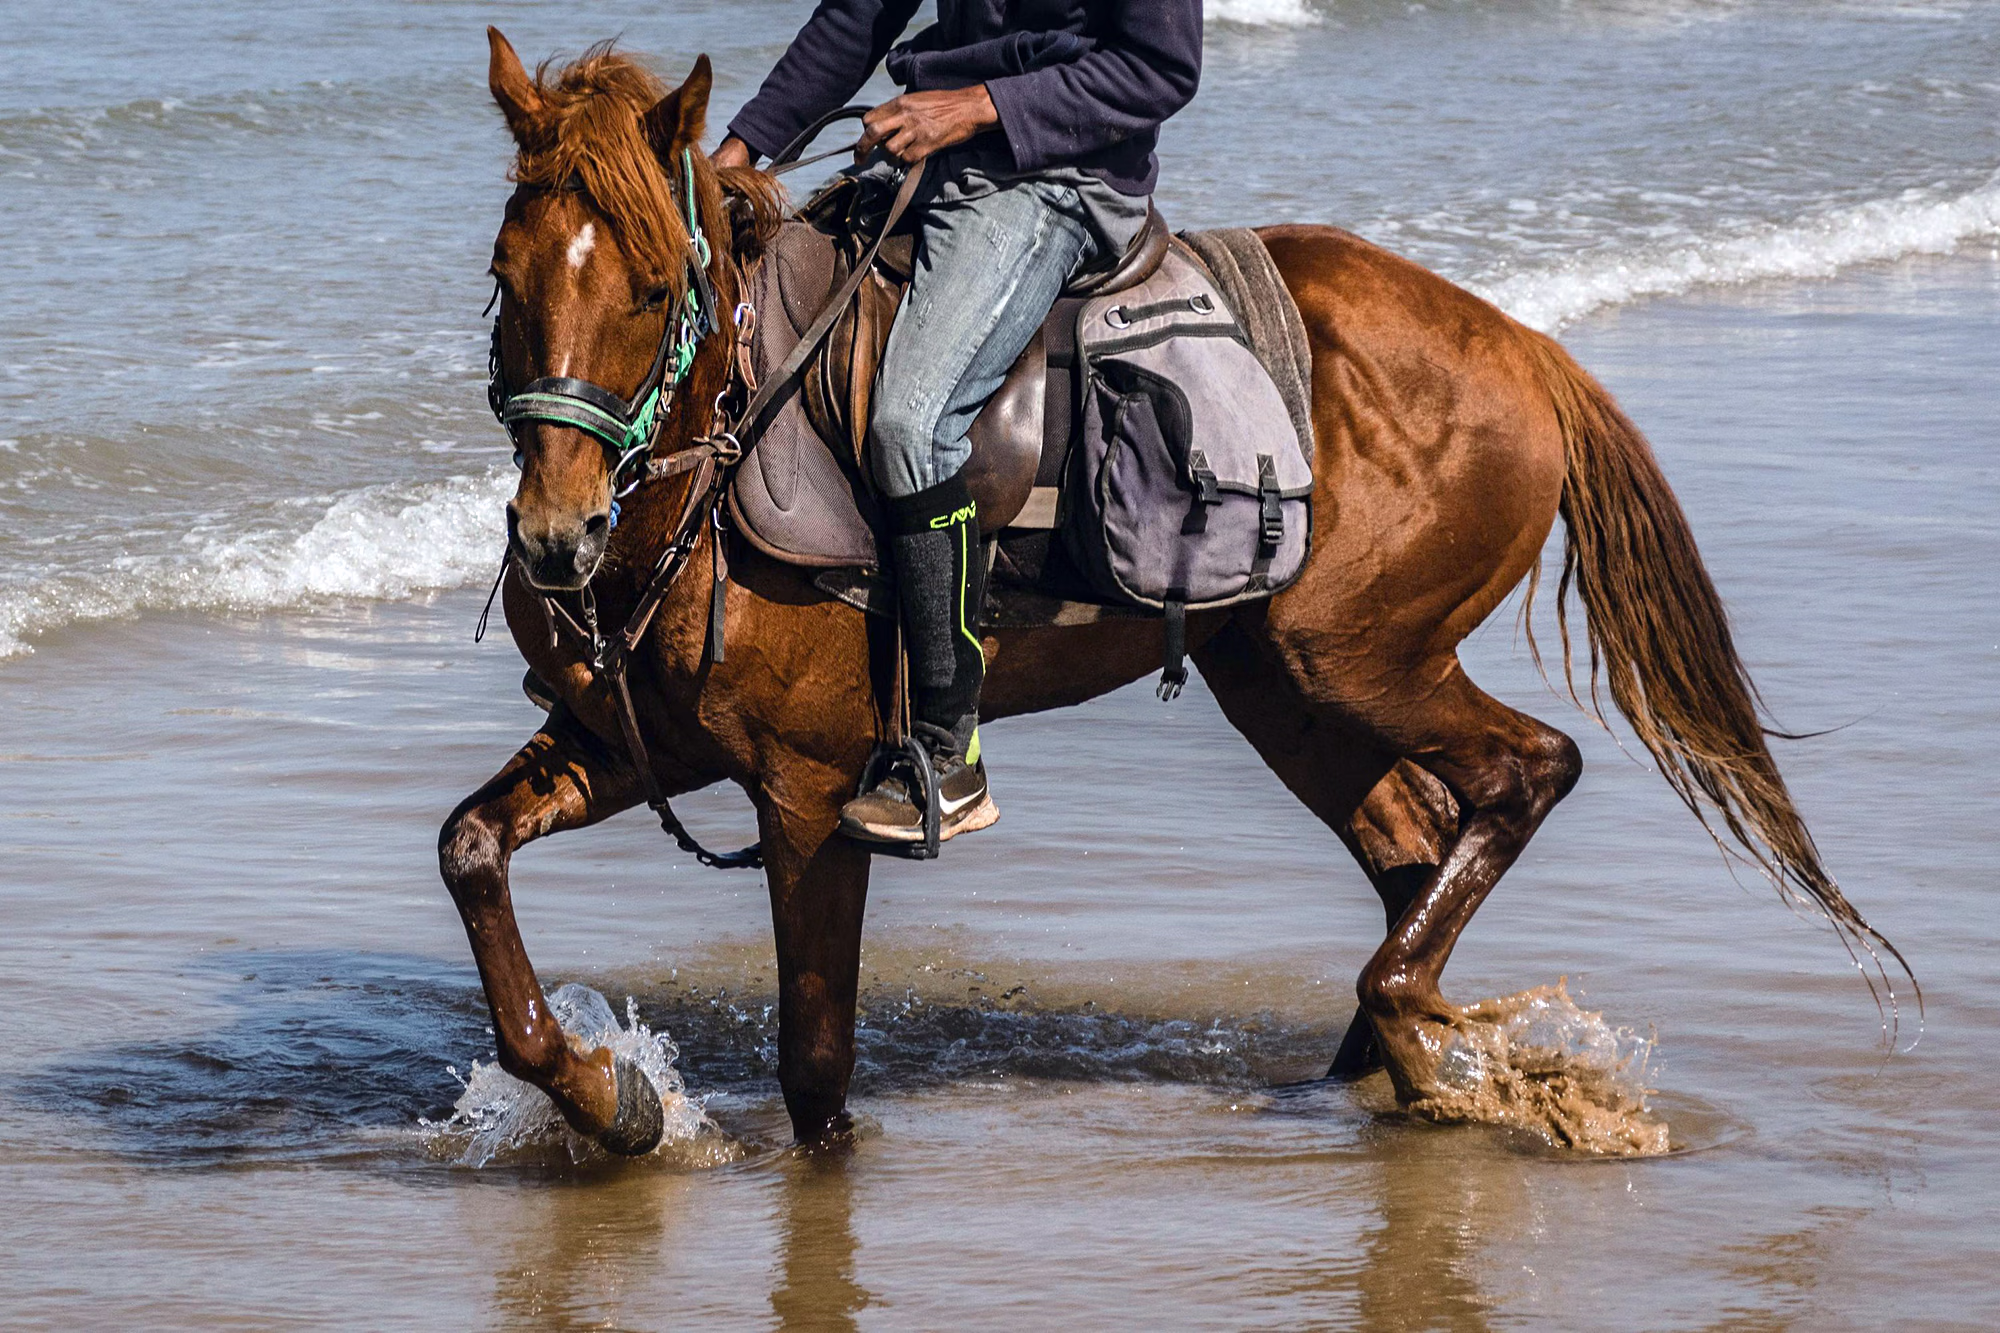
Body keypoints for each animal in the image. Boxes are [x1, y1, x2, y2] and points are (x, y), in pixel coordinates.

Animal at [439, 31, 1905, 1154]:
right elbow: (471, 851)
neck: (721, 448)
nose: (558, 538)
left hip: (1361, 661)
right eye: (505, 280)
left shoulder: (809, 798)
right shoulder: (625, 739)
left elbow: (813, 1067)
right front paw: (607, 1098)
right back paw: (1379, 1064)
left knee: (1525, 769)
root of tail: (1521, 345)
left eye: (649, 290)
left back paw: (1417, 1034)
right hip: (1287, 684)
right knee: (1412, 841)